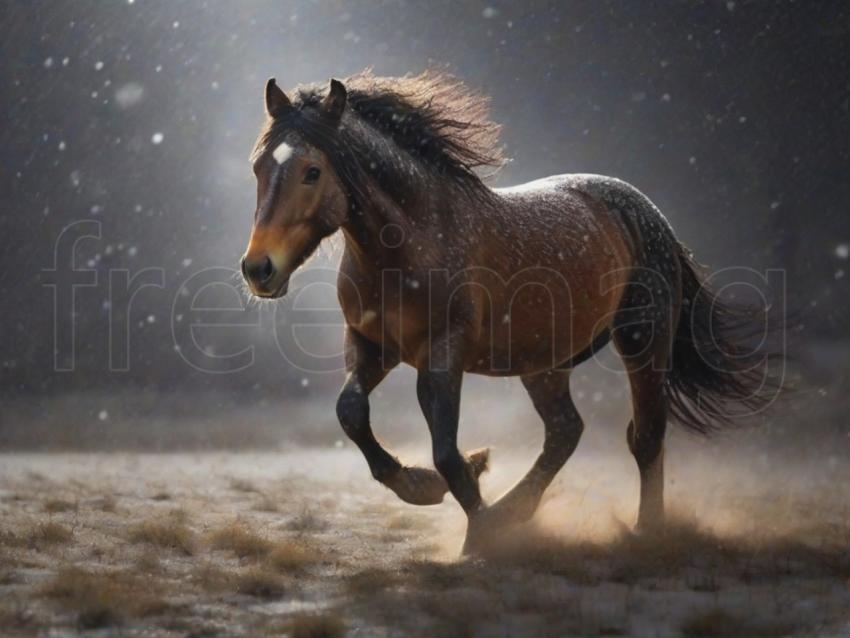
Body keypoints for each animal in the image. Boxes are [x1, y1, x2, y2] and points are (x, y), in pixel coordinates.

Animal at [240, 70, 776, 552]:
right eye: (258, 167)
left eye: (312, 171)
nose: (258, 269)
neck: (412, 240)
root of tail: (645, 209)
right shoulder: (373, 346)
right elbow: (351, 412)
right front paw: (426, 487)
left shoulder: (443, 354)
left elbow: (445, 450)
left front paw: (476, 530)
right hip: (544, 363)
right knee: (565, 431)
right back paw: (515, 511)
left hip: (643, 340)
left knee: (645, 435)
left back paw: (646, 532)